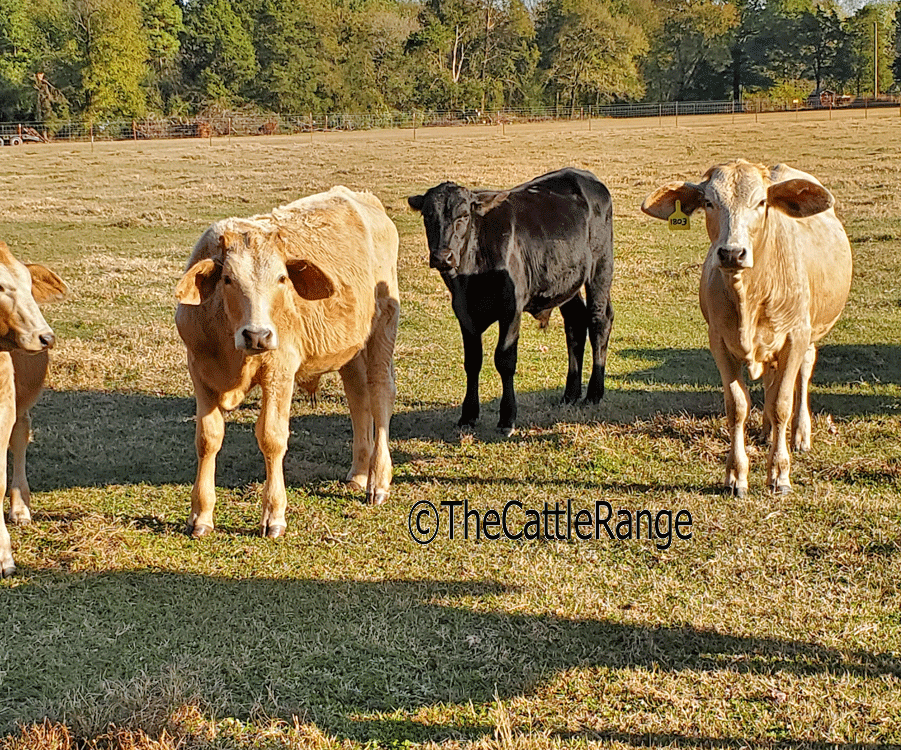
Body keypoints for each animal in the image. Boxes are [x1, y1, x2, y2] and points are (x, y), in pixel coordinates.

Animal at [175, 187, 399, 539]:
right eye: (228, 279)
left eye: (282, 278)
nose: (257, 335)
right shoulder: (199, 372)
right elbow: (207, 439)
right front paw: (201, 515)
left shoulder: (279, 371)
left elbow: (272, 437)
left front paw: (274, 515)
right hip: (350, 350)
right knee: (358, 400)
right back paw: (359, 474)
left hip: (383, 331)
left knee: (380, 396)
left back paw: (378, 481)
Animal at [407, 168, 614, 436]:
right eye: (428, 215)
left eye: (463, 216)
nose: (443, 257)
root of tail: (585, 175)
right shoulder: (464, 312)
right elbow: (472, 362)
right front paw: (468, 414)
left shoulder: (511, 309)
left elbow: (504, 360)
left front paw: (507, 417)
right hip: (566, 279)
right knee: (576, 323)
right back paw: (570, 394)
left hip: (600, 268)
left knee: (599, 321)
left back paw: (594, 393)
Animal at [642, 160, 852, 496]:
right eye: (709, 202)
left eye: (761, 202)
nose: (731, 252)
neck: (750, 297)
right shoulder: (719, 341)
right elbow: (737, 406)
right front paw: (736, 475)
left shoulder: (795, 336)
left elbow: (782, 404)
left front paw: (779, 473)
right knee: (769, 379)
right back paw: (766, 431)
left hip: (810, 333)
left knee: (802, 374)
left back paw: (800, 434)